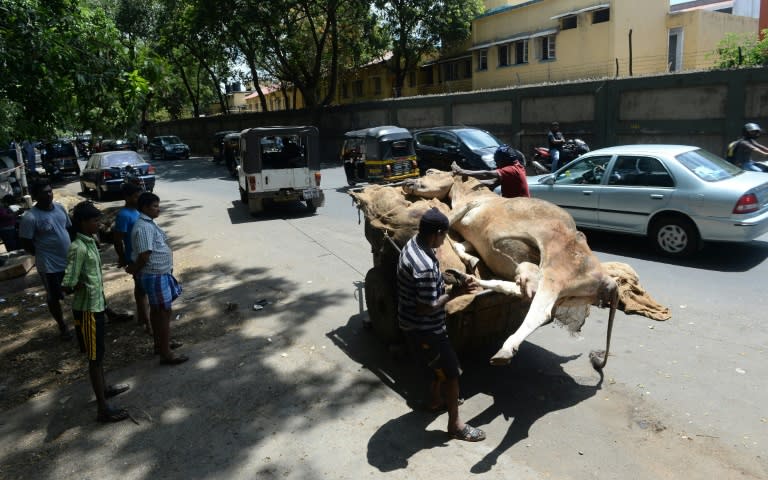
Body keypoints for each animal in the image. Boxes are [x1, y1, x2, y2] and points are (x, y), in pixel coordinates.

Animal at [404, 172, 620, 372]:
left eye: (431, 171)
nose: (407, 182)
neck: (474, 193)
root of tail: (607, 278)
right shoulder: (471, 238)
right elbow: (460, 246)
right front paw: (472, 260)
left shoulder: (464, 208)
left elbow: (448, 221)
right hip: (565, 294)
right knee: (515, 290)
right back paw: (465, 278)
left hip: (554, 276)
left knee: (541, 312)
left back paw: (505, 351)